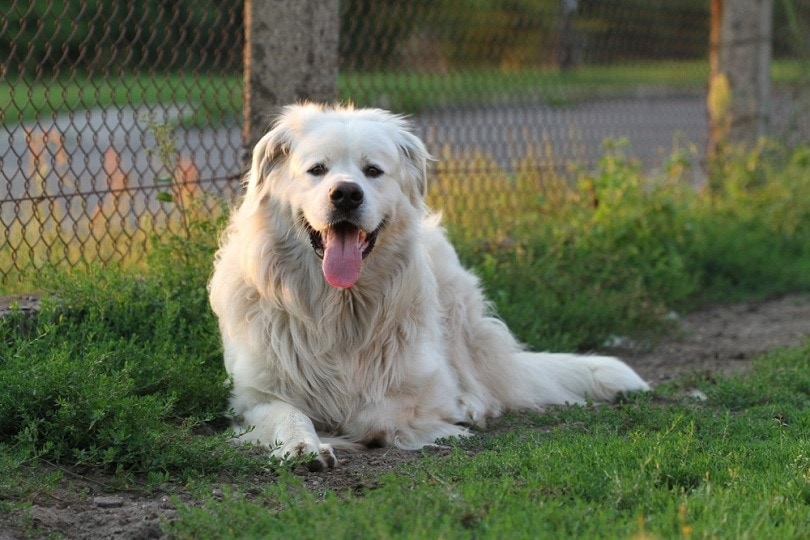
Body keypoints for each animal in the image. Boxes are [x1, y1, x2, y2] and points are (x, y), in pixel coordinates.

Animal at [207, 103, 644, 470]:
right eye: (317, 169)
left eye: (373, 171)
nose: (346, 193)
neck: (340, 308)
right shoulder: (253, 398)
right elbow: (288, 413)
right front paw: (305, 446)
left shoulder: (421, 386)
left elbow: (379, 411)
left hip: (455, 303)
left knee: (480, 383)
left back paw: (471, 405)